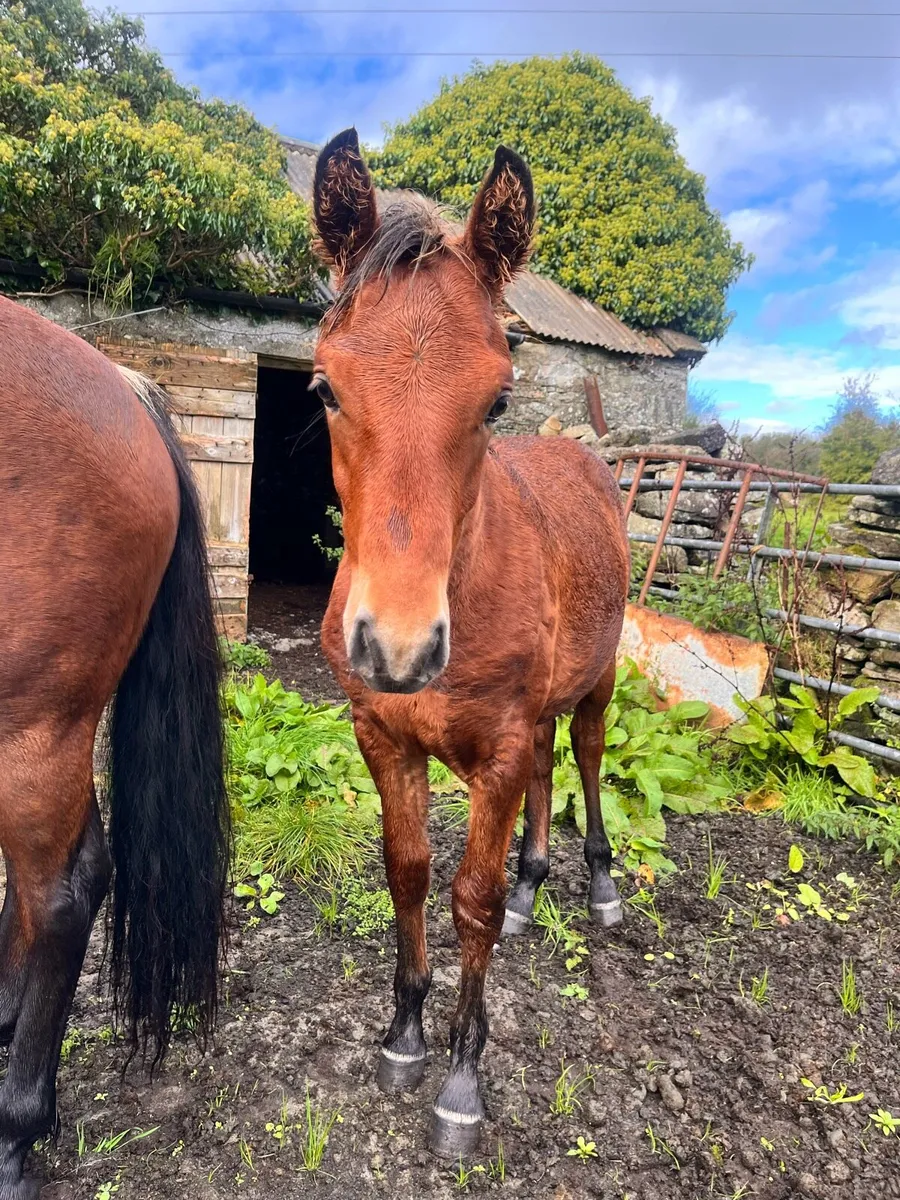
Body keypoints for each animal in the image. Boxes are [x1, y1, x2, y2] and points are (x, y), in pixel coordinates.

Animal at [312, 129, 630, 1157]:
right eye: (325, 387)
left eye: (494, 403)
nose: (399, 648)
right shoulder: (384, 735)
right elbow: (409, 874)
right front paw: (406, 1032)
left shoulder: (493, 751)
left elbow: (471, 899)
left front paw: (461, 1078)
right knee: (548, 769)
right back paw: (537, 887)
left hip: (600, 680)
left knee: (585, 755)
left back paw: (597, 886)